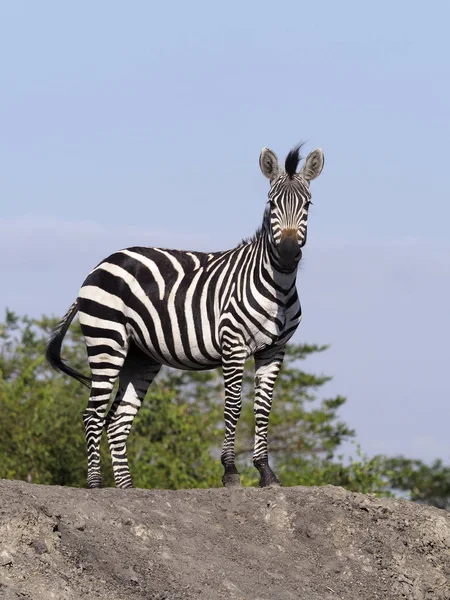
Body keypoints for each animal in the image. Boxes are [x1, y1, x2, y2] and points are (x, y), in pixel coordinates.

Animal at [45, 144, 324, 488]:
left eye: (307, 204)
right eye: (271, 203)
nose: (286, 255)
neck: (279, 287)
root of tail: (101, 264)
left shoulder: (274, 349)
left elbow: (263, 408)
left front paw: (265, 471)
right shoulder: (233, 343)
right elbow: (234, 405)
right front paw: (231, 471)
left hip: (140, 356)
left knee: (117, 420)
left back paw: (126, 489)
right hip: (106, 340)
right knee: (93, 415)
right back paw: (96, 485)